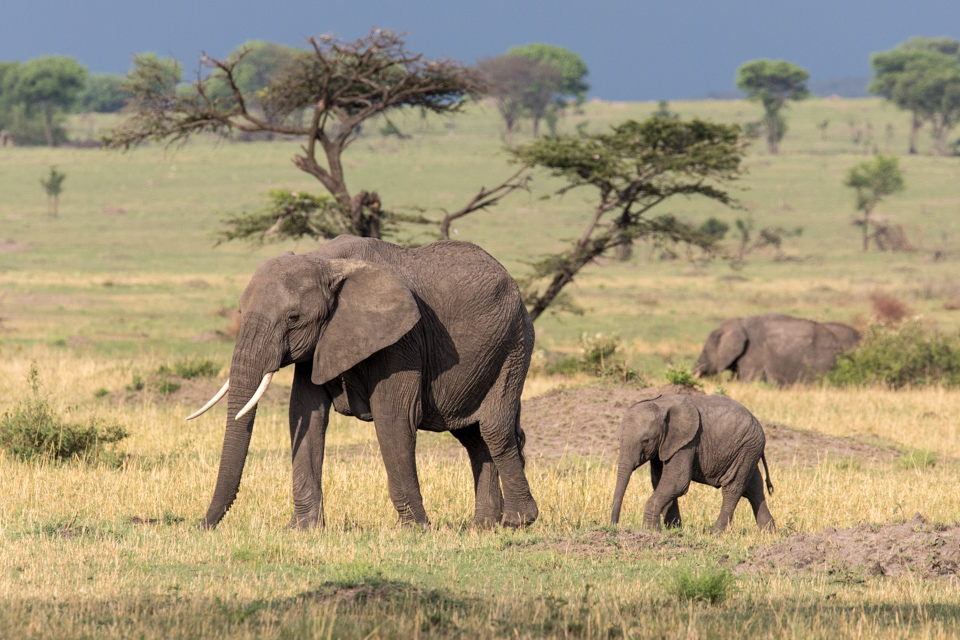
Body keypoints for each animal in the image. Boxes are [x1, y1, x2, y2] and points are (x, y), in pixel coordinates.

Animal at [186, 235, 539, 530]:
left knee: (493, 428)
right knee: (472, 436)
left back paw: (518, 521)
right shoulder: (321, 342)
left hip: (513, 344)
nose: (202, 527)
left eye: (293, 318)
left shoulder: (402, 339)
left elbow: (394, 416)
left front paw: (413, 530)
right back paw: (483, 526)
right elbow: (306, 414)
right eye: (240, 311)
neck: (324, 261)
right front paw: (302, 530)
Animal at [610, 394, 775, 533]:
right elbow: (660, 481)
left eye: (645, 440)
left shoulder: (687, 442)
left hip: (746, 448)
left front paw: (651, 530)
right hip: (747, 450)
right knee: (753, 488)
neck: (660, 404)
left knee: (732, 488)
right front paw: (674, 530)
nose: (614, 526)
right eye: (619, 438)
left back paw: (715, 533)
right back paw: (768, 532)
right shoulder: (664, 446)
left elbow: (677, 482)